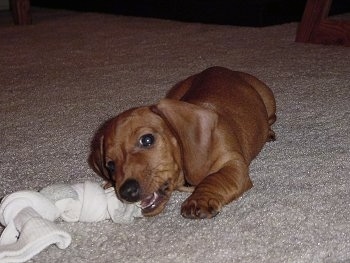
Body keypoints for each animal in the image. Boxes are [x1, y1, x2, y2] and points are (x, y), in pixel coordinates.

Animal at [89, 67, 276, 220]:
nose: (126, 192)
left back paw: (269, 132)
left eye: (147, 139)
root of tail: (223, 69)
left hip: (267, 99)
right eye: (110, 165)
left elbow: (216, 178)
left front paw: (199, 199)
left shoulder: (233, 164)